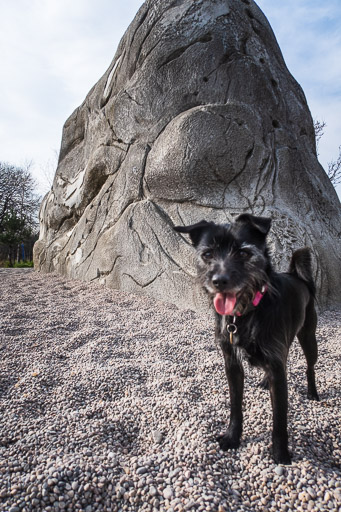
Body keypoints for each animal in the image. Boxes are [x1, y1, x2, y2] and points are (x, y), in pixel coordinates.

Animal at [175, 212, 318, 464]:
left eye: (243, 253)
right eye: (208, 254)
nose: (219, 281)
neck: (247, 312)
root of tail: (296, 275)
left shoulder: (276, 367)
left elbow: (279, 420)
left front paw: (280, 455)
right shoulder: (232, 364)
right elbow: (235, 406)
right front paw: (232, 437)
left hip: (309, 338)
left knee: (310, 366)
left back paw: (313, 392)